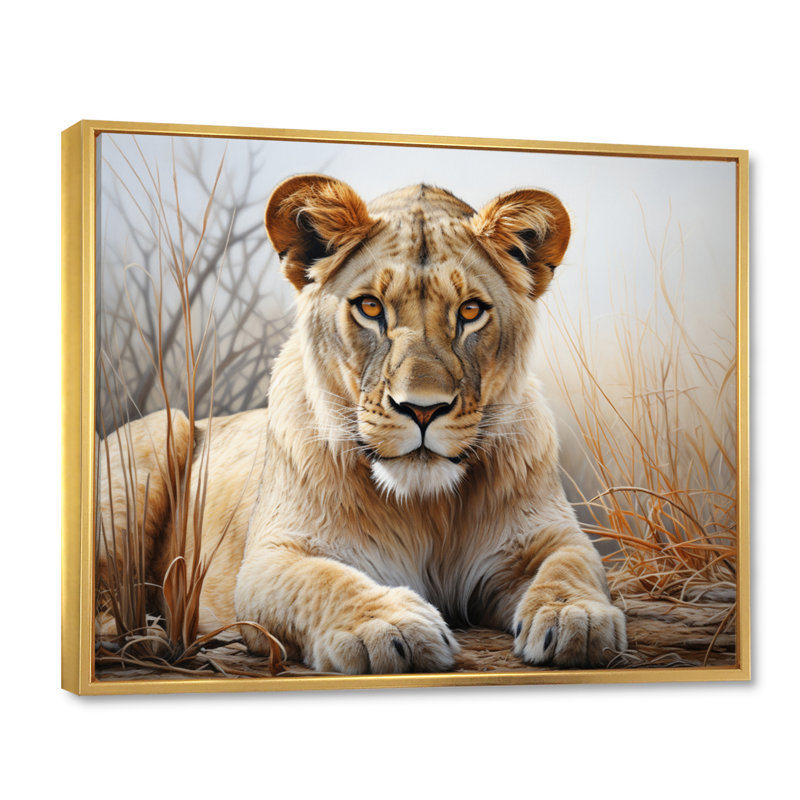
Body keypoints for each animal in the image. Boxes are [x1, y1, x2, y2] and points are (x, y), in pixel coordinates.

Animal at [98, 174, 627, 674]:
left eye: (470, 311)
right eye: (370, 307)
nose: (422, 409)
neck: (426, 508)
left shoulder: (544, 536)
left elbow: (571, 563)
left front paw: (577, 617)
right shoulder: (270, 559)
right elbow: (323, 580)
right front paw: (386, 626)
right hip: (160, 436)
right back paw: (143, 639)